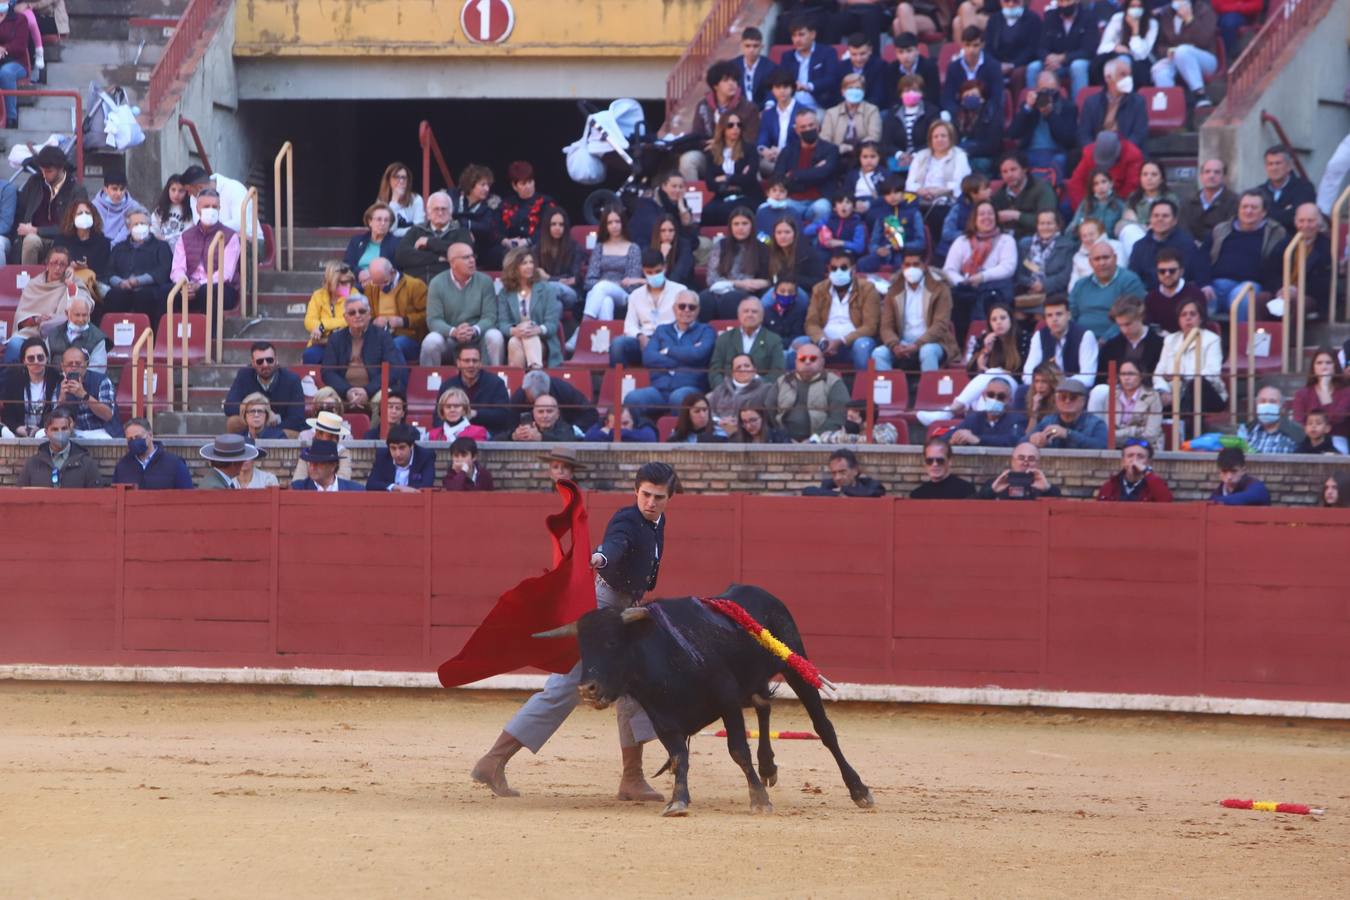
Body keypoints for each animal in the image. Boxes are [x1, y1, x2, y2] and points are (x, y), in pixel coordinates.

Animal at [537, 585, 874, 814]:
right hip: (752, 683)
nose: (587, 689)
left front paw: (759, 800)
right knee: (764, 706)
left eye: (611, 642)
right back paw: (768, 767)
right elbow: (678, 756)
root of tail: (760, 593)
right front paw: (678, 801)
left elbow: (738, 750)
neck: (664, 656)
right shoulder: (662, 719)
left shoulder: (727, 701)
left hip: (795, 665)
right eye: (582, 648)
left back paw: (859, 790)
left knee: (824, 729)